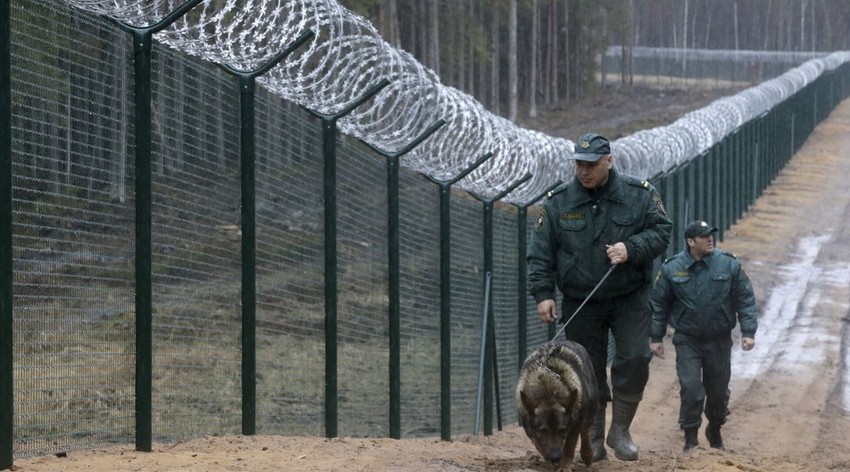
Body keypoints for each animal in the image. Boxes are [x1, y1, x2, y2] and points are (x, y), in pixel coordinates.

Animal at [516, 342, 596, 470]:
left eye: (562, 430)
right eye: (543, 431)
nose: (555, 457)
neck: (548, 390)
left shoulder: (575, 426)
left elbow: (569, 447)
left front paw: (565, 467)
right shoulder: (531, 431)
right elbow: (540, 445)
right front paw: (552, 463)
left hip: (591, 408)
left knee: (586, 432)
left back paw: (587, 454)